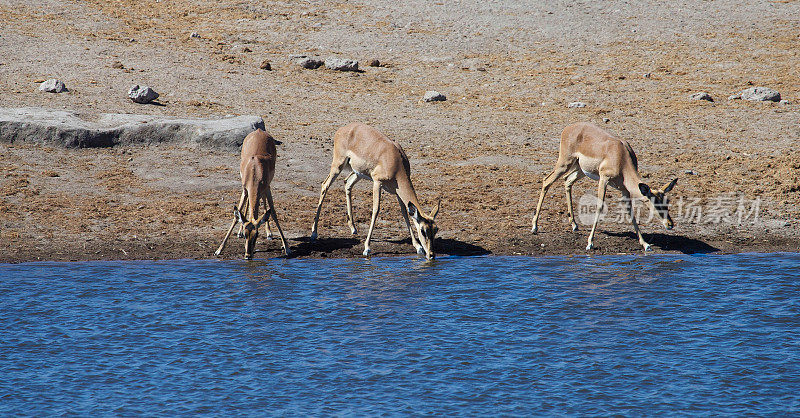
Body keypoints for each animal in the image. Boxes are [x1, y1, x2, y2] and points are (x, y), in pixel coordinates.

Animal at [216, 128, 290, 258]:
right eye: (246, 235)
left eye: (256, 235)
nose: (248, 255)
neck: (255, 171)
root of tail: (259, 130)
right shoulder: (245, 189)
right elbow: (238, 214)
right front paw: (219, 249)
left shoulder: (266, 188)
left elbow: (273, 213)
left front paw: (286, 247)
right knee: (248, 205)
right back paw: (240, 231)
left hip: (264, 189)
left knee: (264, 206)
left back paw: (269, 233)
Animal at [310, 121, 440, 258]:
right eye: (423, 230)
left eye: (435, 229)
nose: (431, 254)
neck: (395, 161)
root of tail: (342, 129)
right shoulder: (377, 183)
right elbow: (376, 210)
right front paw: (367, 248)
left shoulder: (397, 191)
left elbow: (404, 212)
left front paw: (418, 247)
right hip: (338, 165)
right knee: (325, 185)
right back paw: (314, 233)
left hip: (358, 173)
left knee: (347, 183)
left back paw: (353, 228)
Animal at [532, 121, 676, 251]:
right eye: (655, 203)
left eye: (667, 202)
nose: (670, 224)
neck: (620, 156)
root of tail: (568, 127)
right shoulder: (604, 179)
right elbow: (599, 206)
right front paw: (590, 243)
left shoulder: (624, 189)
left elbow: (630, 212)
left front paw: (645, 244)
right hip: (564, 163)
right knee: (546, 181)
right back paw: (534, 227)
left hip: (580, 169)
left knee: (567, 181)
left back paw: (574, 225)